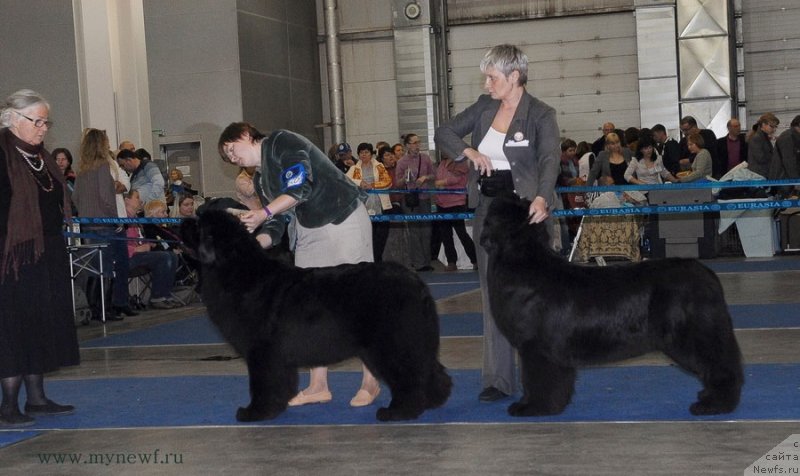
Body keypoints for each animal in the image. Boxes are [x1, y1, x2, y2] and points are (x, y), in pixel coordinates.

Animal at [184, 208, 454, 420]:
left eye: (198, 223)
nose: (183, 220)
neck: (236, 269)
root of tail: (415, 282)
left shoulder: (261, 351)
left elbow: (262, 383)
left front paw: (255, 412)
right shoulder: (277, 356)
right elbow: (280, 381)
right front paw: (277, 407)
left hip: (392, 343)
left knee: (410, 374)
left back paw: (398, 411)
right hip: (413, 340)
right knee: (431, 369)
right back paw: (434, 401)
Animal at [478, 193, 740, 416]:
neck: (522, 258)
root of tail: (707, 275)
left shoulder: (536, 346)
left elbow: (535, 379)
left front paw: (532, 407)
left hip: (692, 335)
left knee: (720, 365)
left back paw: (714, 404)